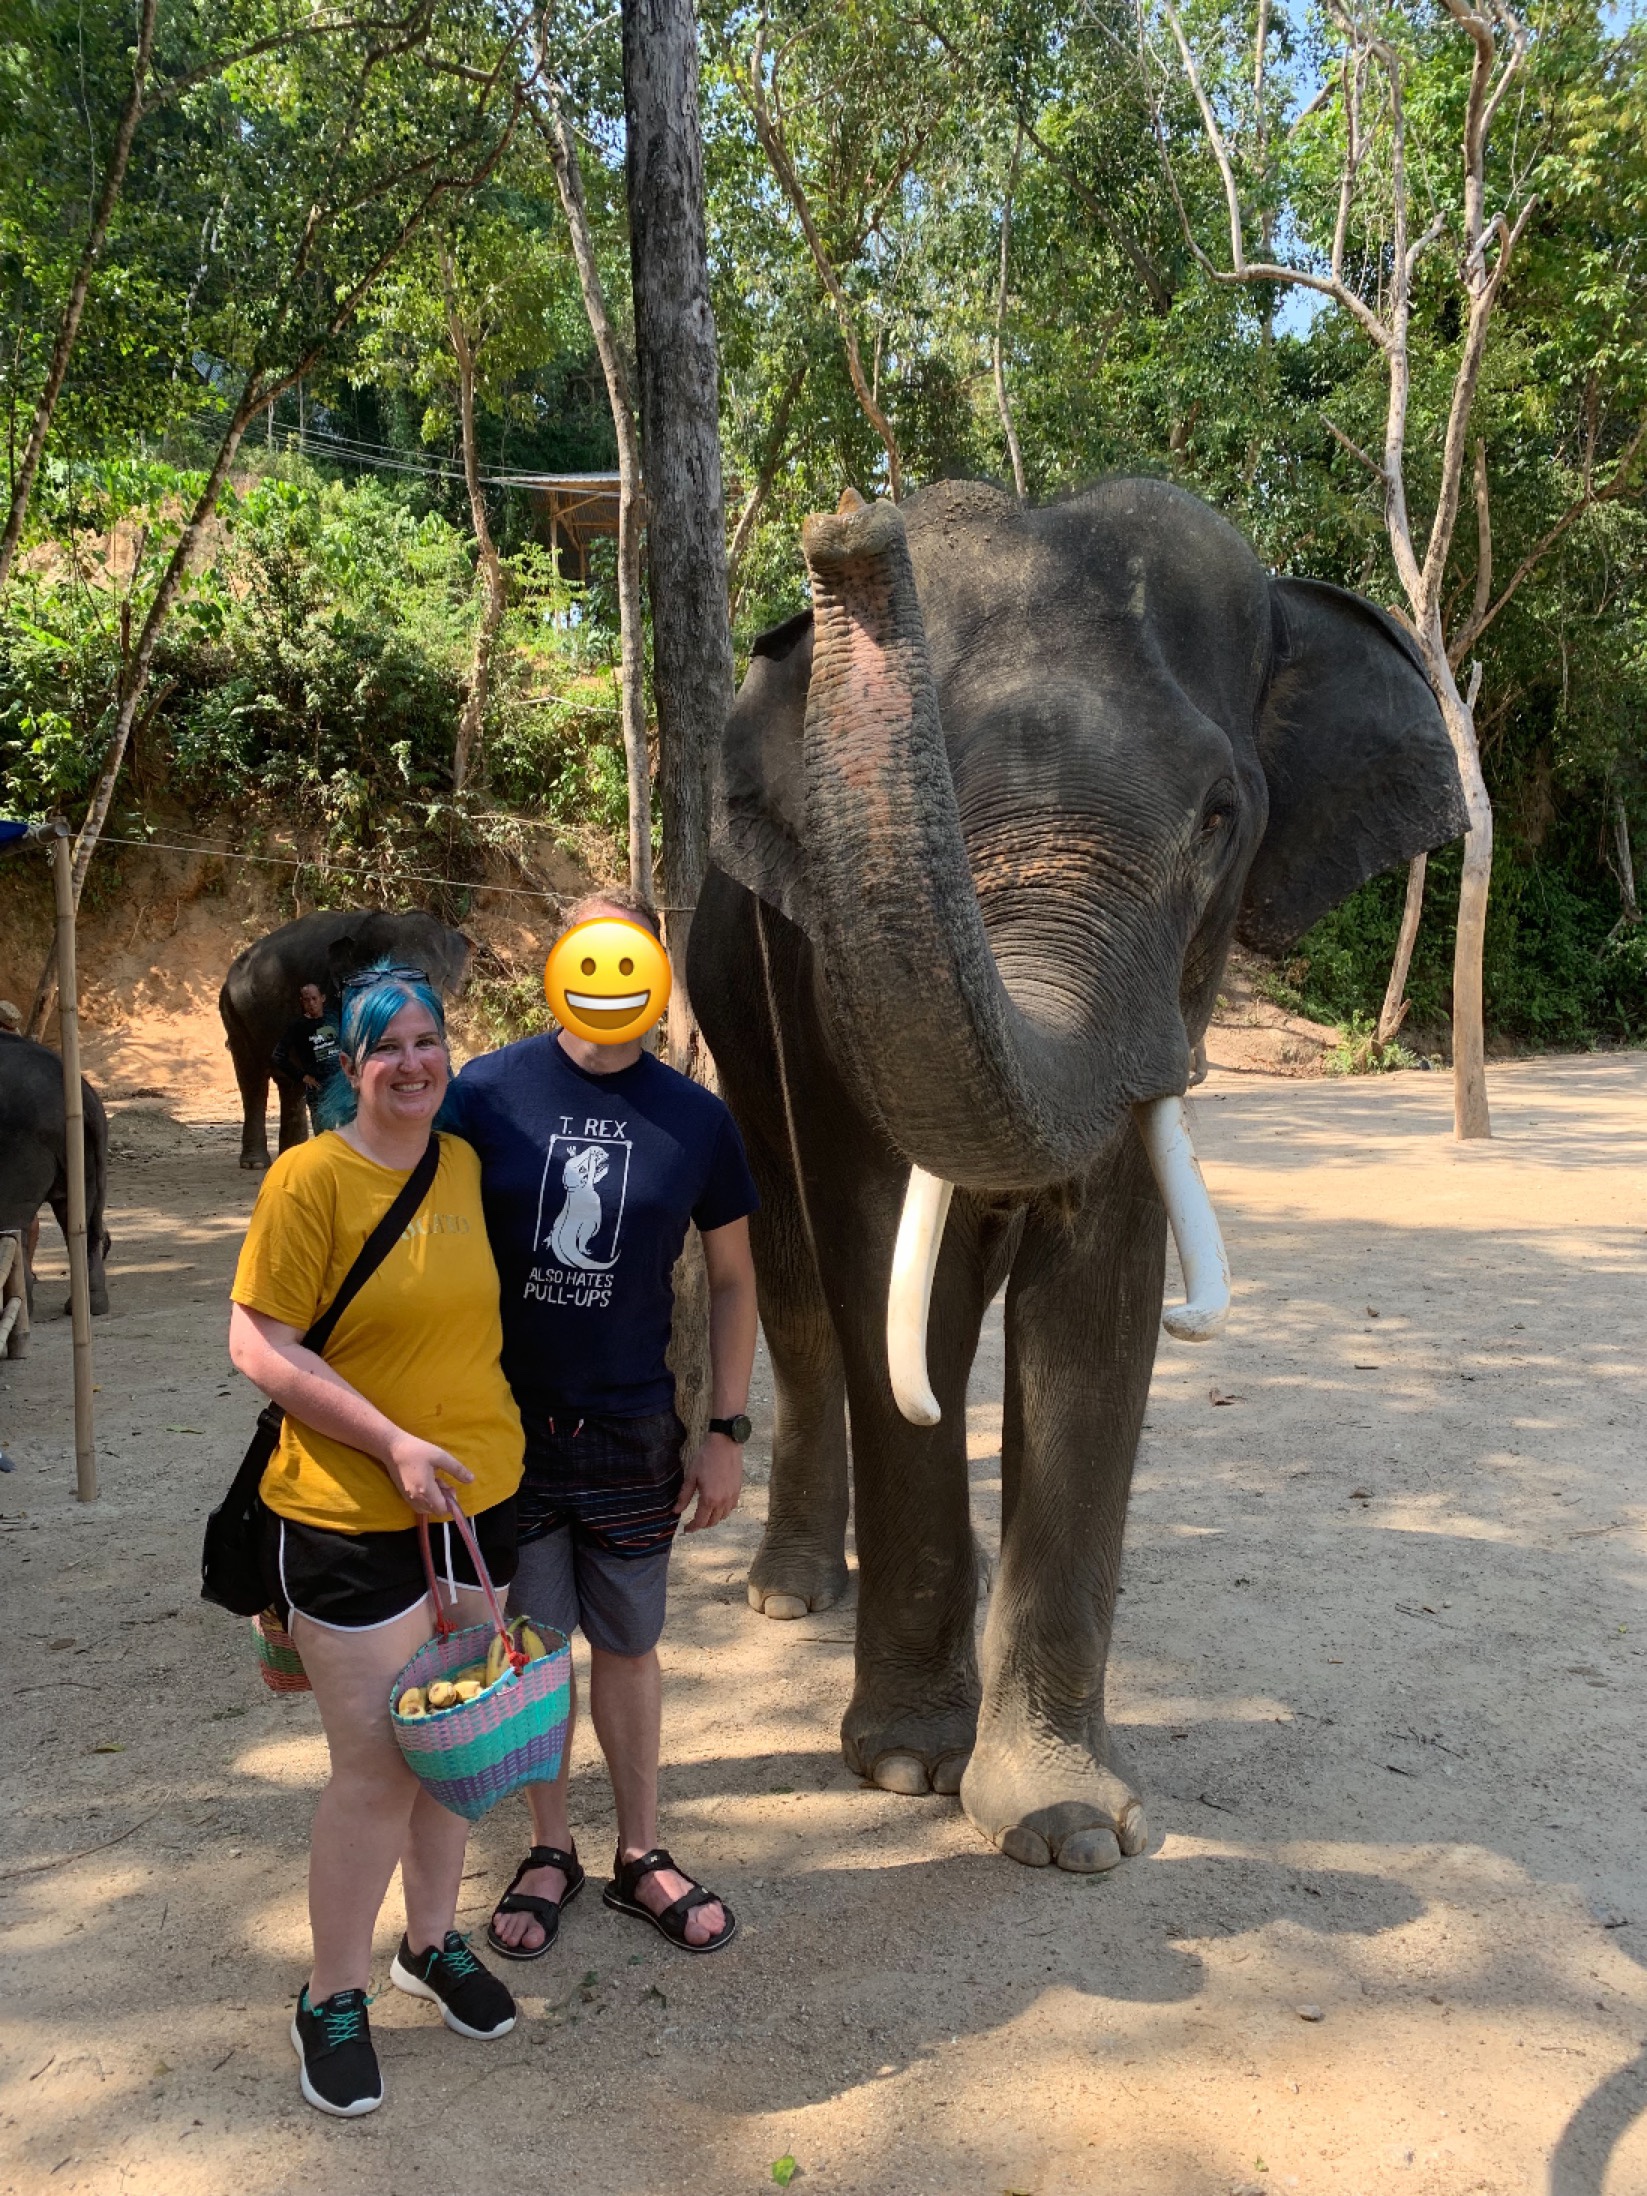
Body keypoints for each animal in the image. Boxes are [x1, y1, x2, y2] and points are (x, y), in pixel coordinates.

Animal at [687, 476, 1466, 1872]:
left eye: (1219, 818)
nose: (849, 531)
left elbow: (1102, 1307)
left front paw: (1068, 1829)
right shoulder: (821, 996)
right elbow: (895, 1288)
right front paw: (907, 1768)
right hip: (731, 1004)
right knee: (793, 1292)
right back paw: (791, 1594)